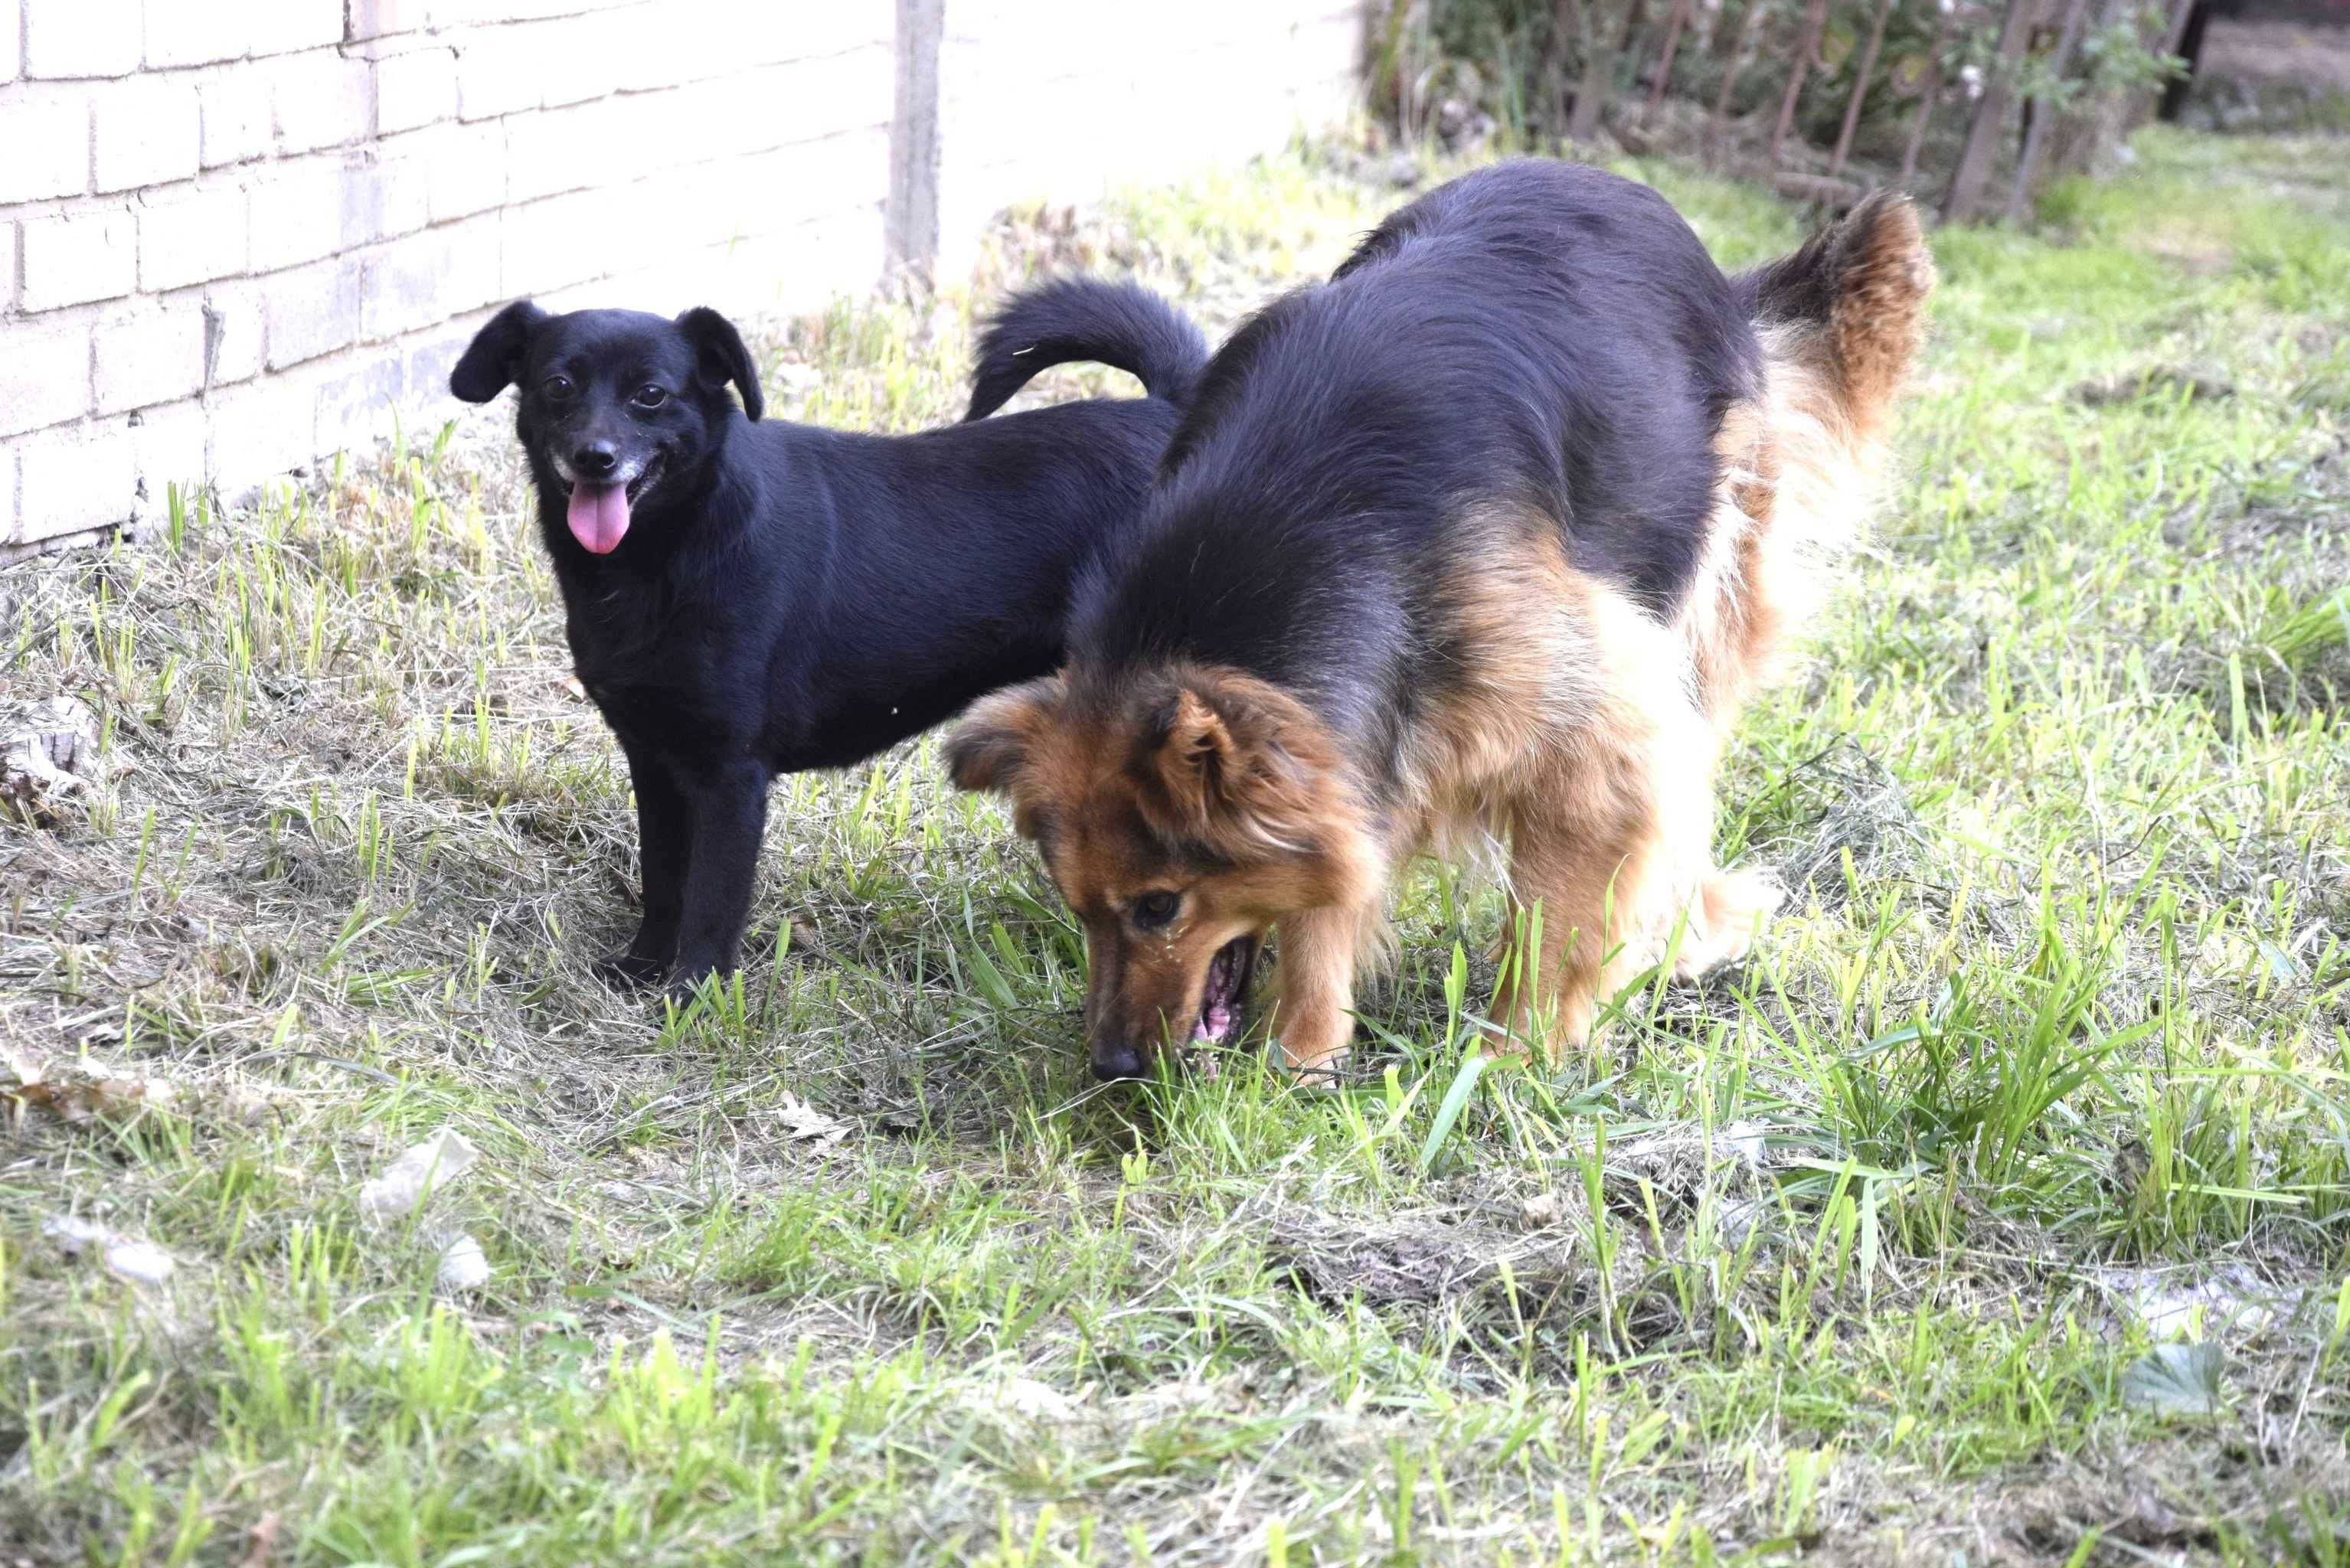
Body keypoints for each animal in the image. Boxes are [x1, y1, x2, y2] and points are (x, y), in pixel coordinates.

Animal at [446, 278, 1203, 991]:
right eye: (559, 387)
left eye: (651, 396)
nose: (593, 458)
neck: (673, 545)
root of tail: (1175, 410)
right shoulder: (653, 758)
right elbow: (662, 880)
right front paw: (642, 967)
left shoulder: (731, 775)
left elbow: (711, 902)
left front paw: (692, 997)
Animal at [944, 165, 1936, 1086]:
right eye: (1080, 907)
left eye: (1159, 905)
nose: (1113, 1064)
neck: (1298, 523)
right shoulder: (1350, 742)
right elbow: (1329, 894)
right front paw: (1304, 1055)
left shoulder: (1595, 740)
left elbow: (1557, 920)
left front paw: (1509, 1062)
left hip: (1704, 589)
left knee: (1691, 770)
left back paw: (1688, 930)